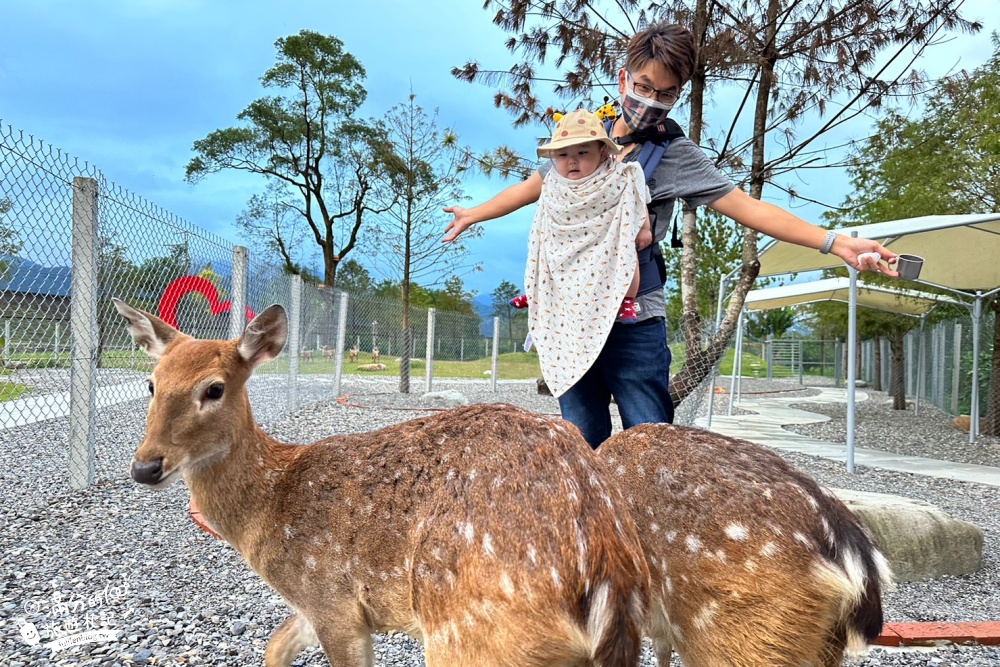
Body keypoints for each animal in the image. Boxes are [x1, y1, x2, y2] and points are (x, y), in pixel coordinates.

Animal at [113, 302, 652, 667]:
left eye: (215, 388)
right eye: (152, 383)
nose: (145, 466)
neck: (269, 510)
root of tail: (605, 563)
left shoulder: (331, 597)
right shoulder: (317, 607)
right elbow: (274, 645)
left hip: (475, 630)